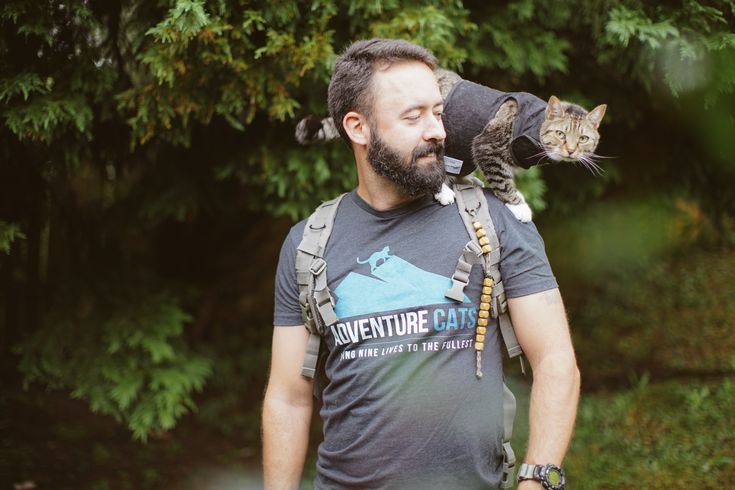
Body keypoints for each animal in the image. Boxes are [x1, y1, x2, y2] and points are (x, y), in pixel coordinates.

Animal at [296, 68, 608, 222]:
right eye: (561, 134)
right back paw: (445, 190)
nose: (571, 151)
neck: (533, 125)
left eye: (583, 139)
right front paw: (518, 206)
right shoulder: (487, 145)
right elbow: (503, 181)